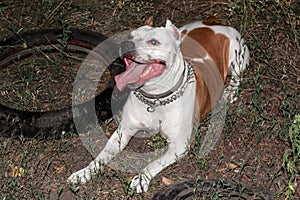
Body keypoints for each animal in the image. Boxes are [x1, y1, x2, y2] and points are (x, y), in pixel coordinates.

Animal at [67, 19, 248, 192]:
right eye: (130, 37)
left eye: (154, 42)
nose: (126, 44)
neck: (155, 99)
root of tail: (214, 23)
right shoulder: (122, 132)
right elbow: (101, 156)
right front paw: (84, 172)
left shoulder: (178, 145)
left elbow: (154, 162)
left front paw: (141, 179)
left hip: (237, 57)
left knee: (237, 77)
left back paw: (230, 92)